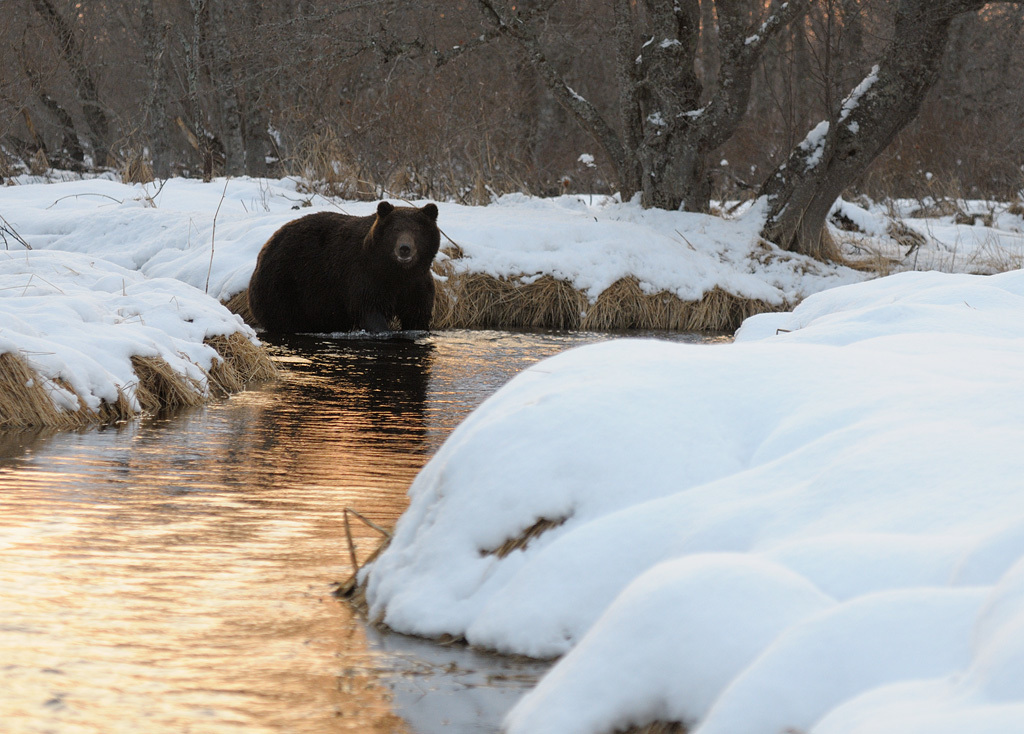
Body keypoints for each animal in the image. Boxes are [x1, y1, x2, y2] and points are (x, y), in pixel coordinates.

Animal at [248, 200, 444, 331]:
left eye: (416, 230)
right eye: (395, 229)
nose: (404, 249)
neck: (396, 272)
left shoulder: (416, 283)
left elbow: (417, 314)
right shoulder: (365, 277)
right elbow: (370, 310)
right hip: (284, 284)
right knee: (284, 317)